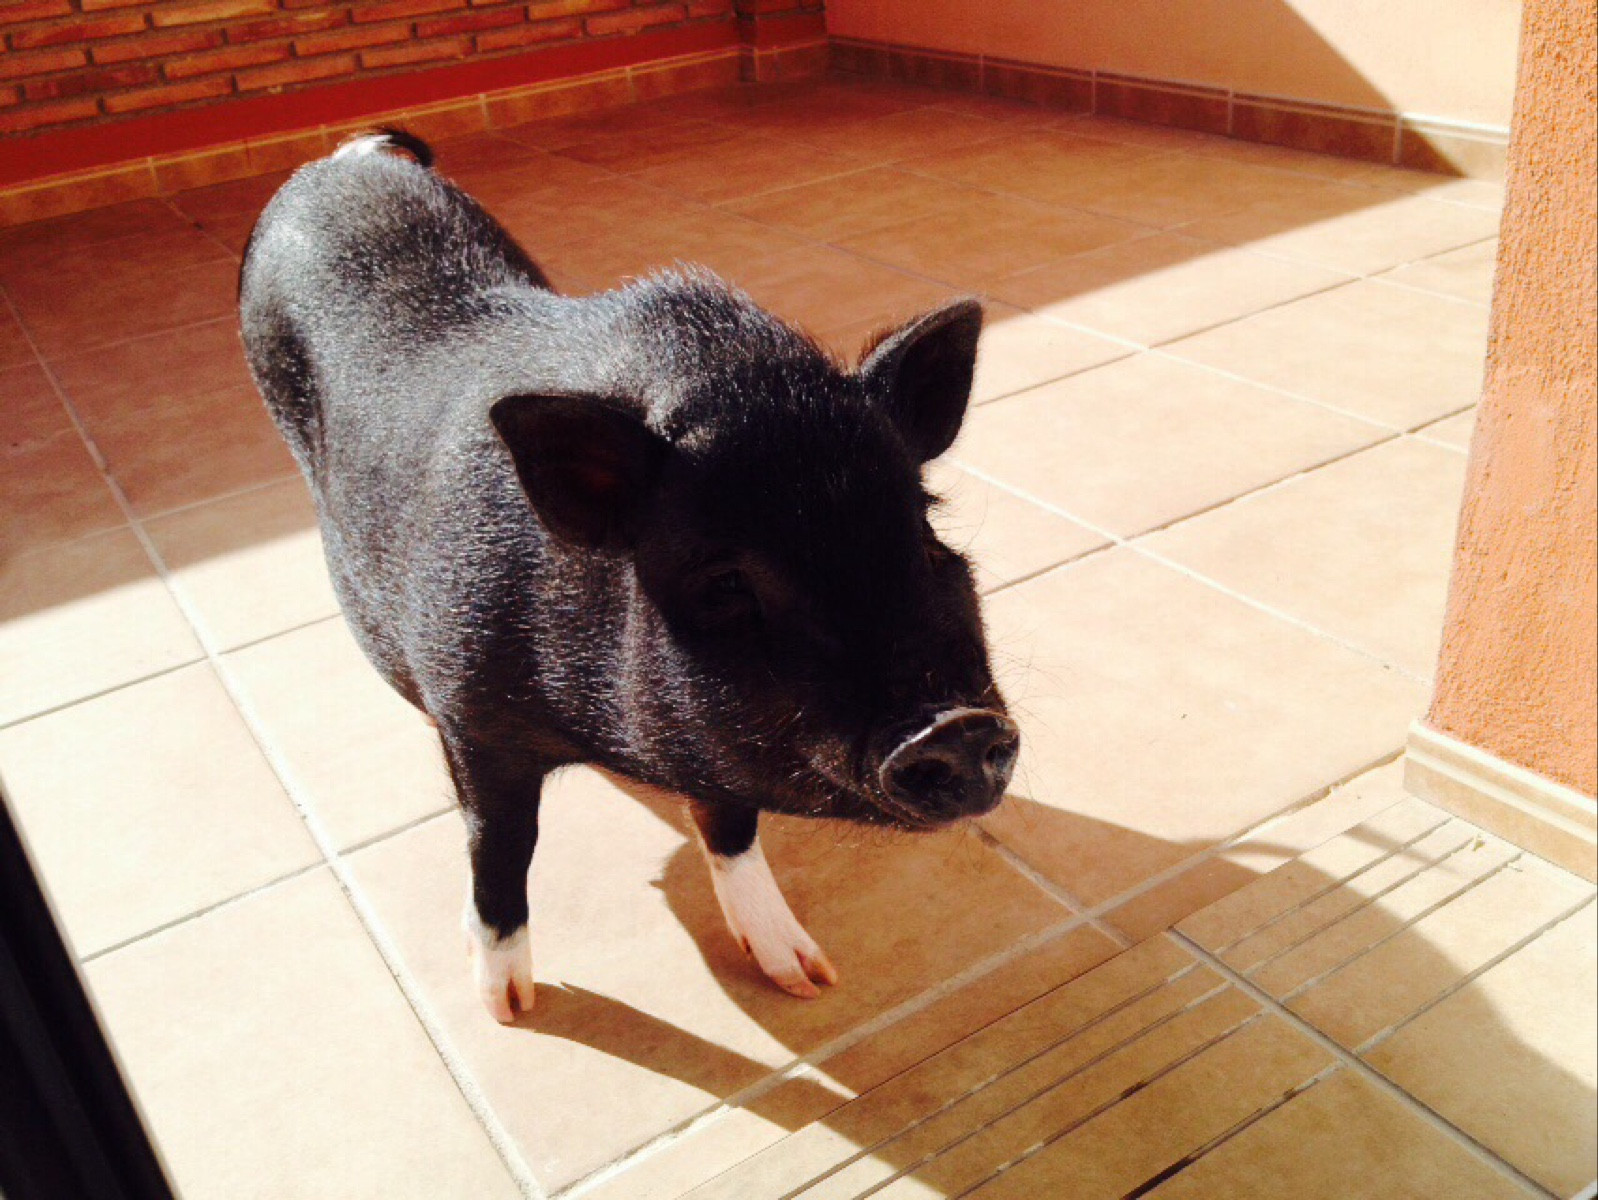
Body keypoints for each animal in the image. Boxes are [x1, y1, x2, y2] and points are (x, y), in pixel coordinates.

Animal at [238, 129, 1019, 1023]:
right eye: (726, 583)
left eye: (921, 529)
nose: (956, 727)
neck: (604, 733)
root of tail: (346, 158)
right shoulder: (475, 718)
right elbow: (500, 848)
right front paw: (508, 1007)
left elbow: (731, 824)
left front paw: (807, 976)